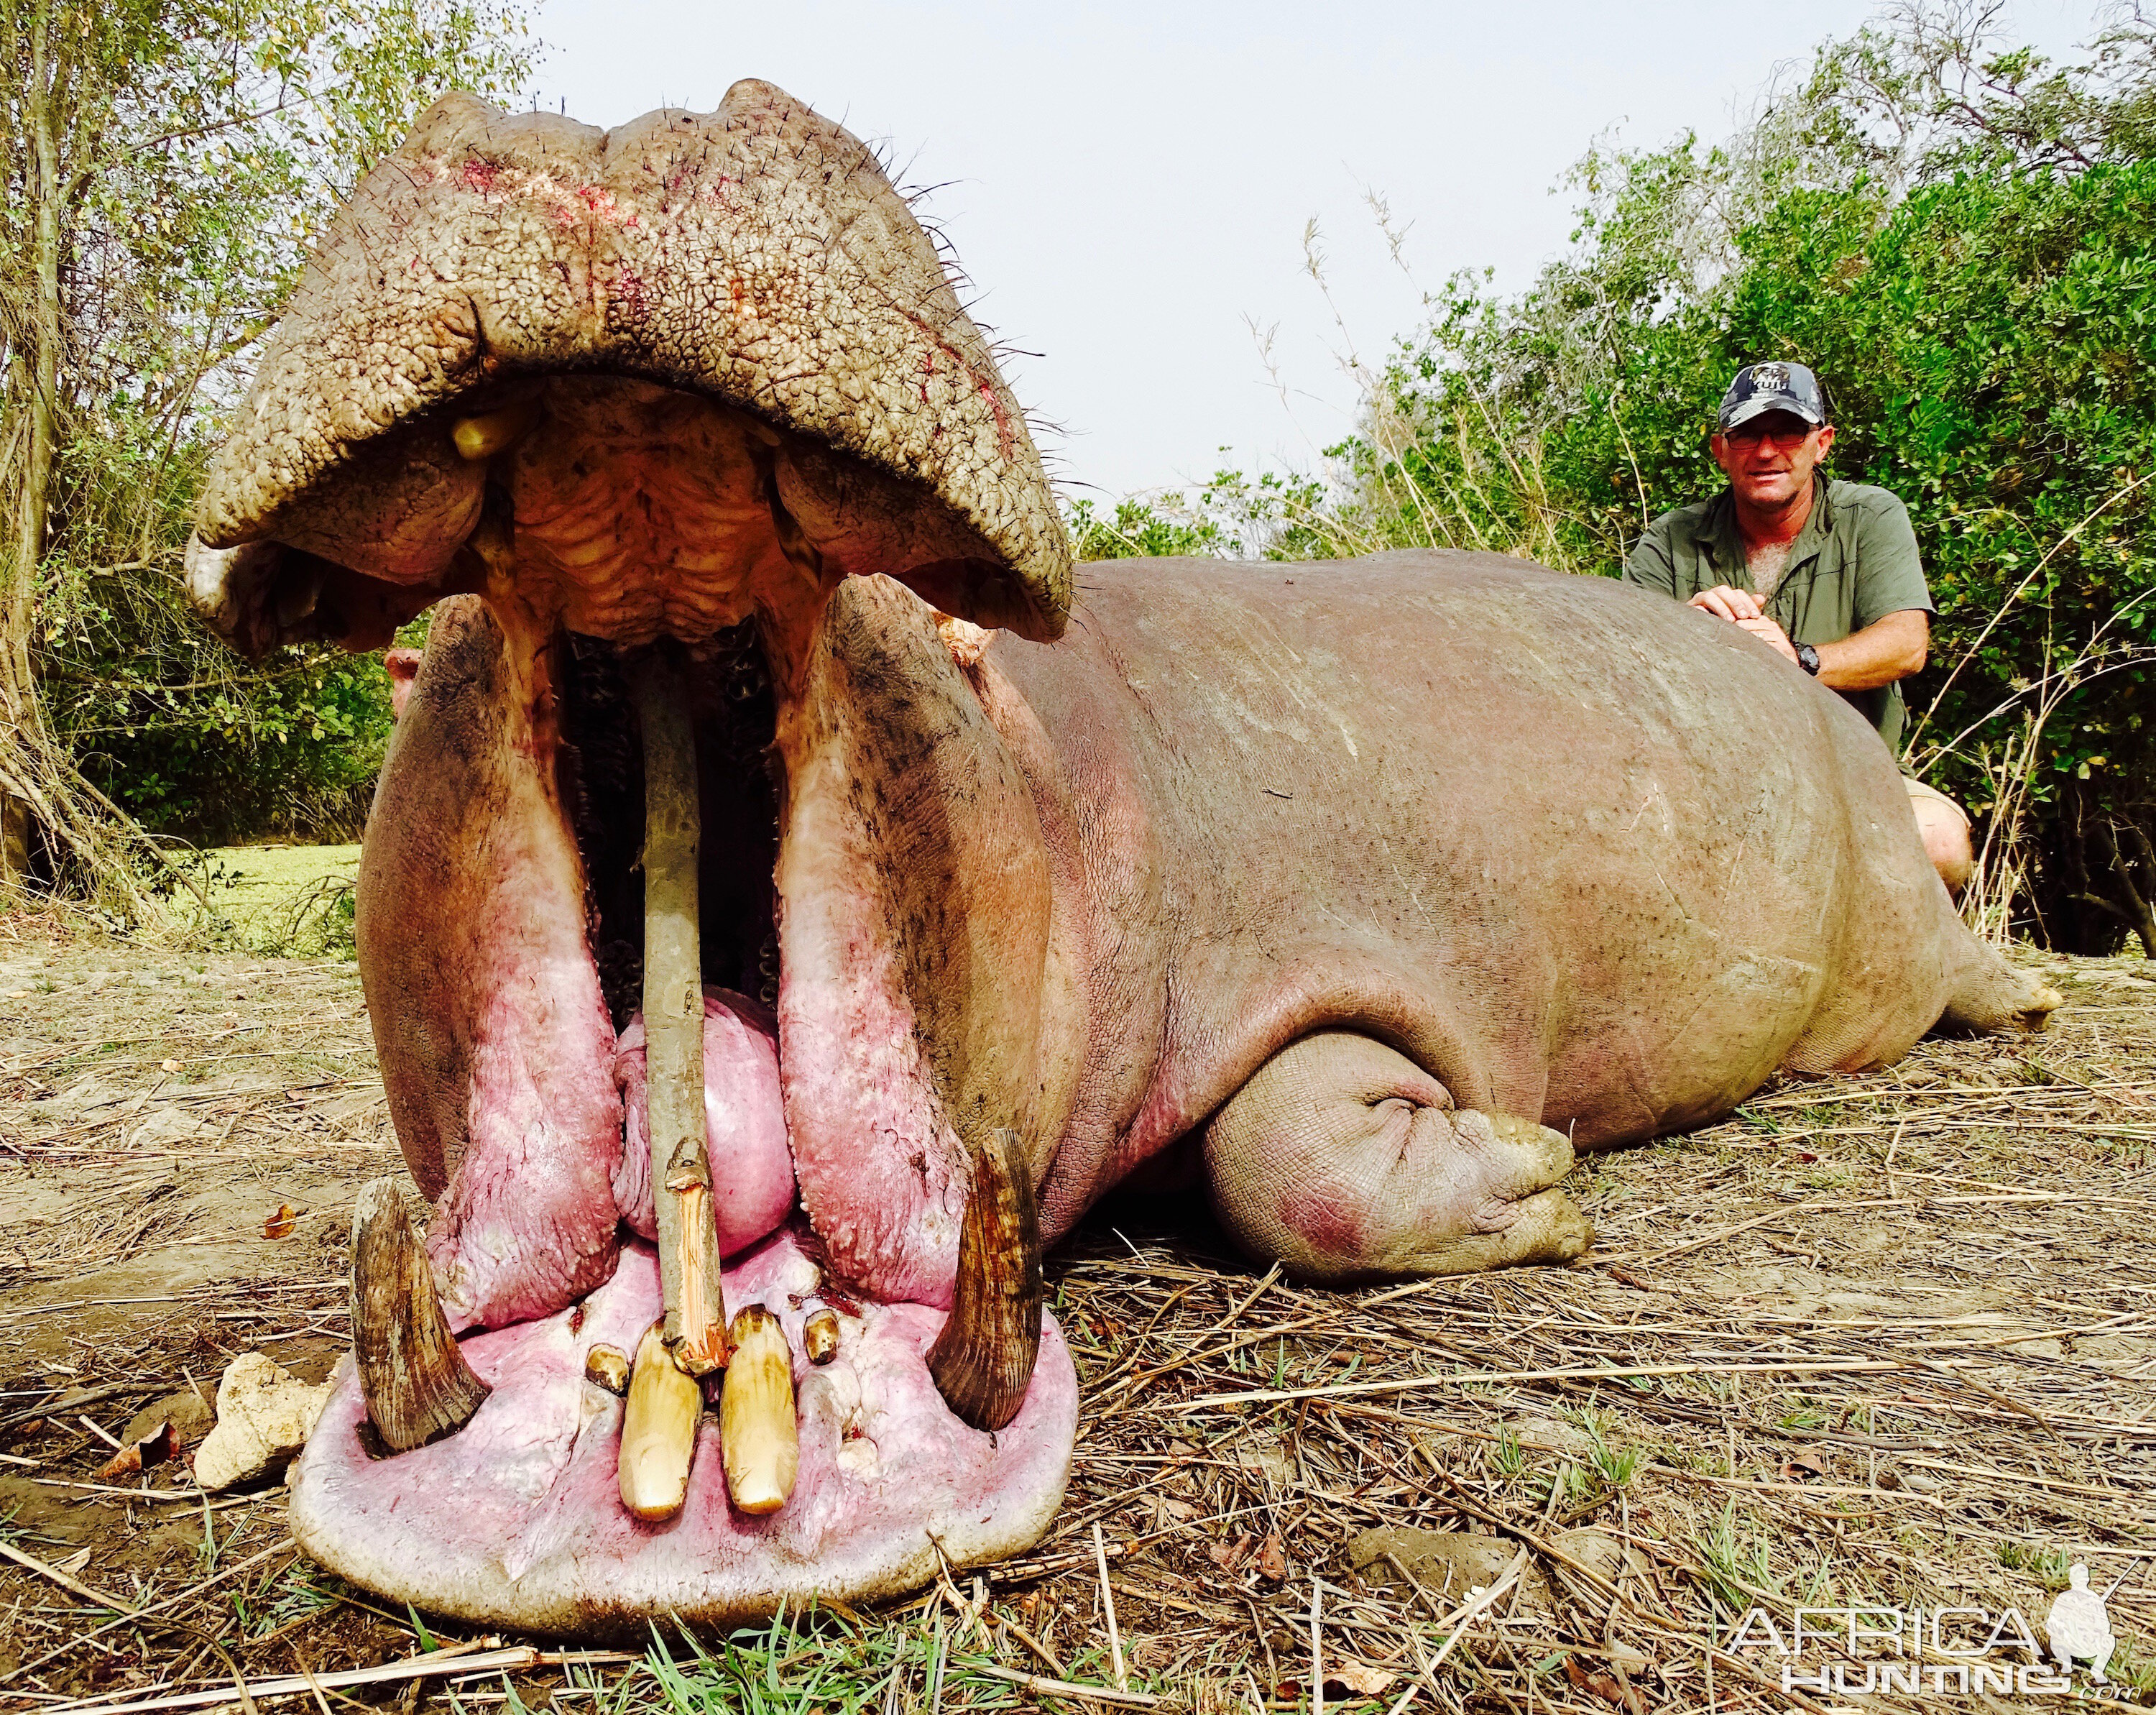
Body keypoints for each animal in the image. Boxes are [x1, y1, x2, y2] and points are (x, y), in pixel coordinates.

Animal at [185, 80, 2053, 1639]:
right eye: (411, 665)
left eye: (950, 625)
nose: (611, 132)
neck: (1059, 749)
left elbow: (1281, 1144)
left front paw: (1532, 1171)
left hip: (1883, 906)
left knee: (1940, 950)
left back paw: (2025, 997)